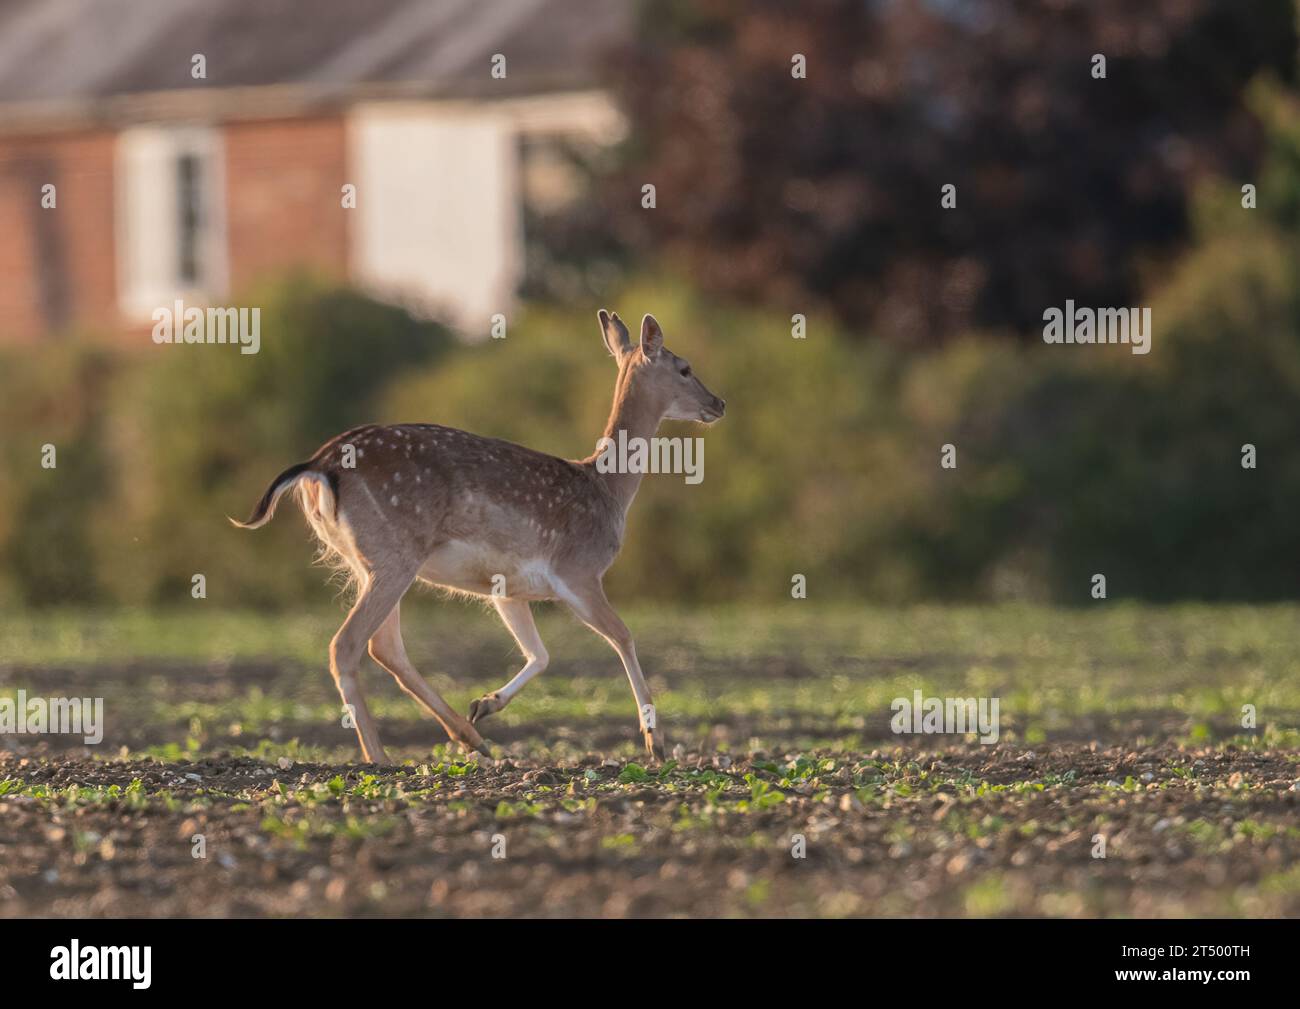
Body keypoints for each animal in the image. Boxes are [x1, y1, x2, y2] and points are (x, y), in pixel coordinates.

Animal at [230, 310, 728, 759]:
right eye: (684, 368)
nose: (719, 403)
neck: (607, 489)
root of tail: (319, 466)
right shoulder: (578, 570)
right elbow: (623, 636)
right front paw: (655, 743)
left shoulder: (508, 589)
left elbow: (540, 654)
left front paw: (485, 704)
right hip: (394, 554)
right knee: (349, 644)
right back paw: (382, 758)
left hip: (366, 560)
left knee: (384, 646)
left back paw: (470, 737)